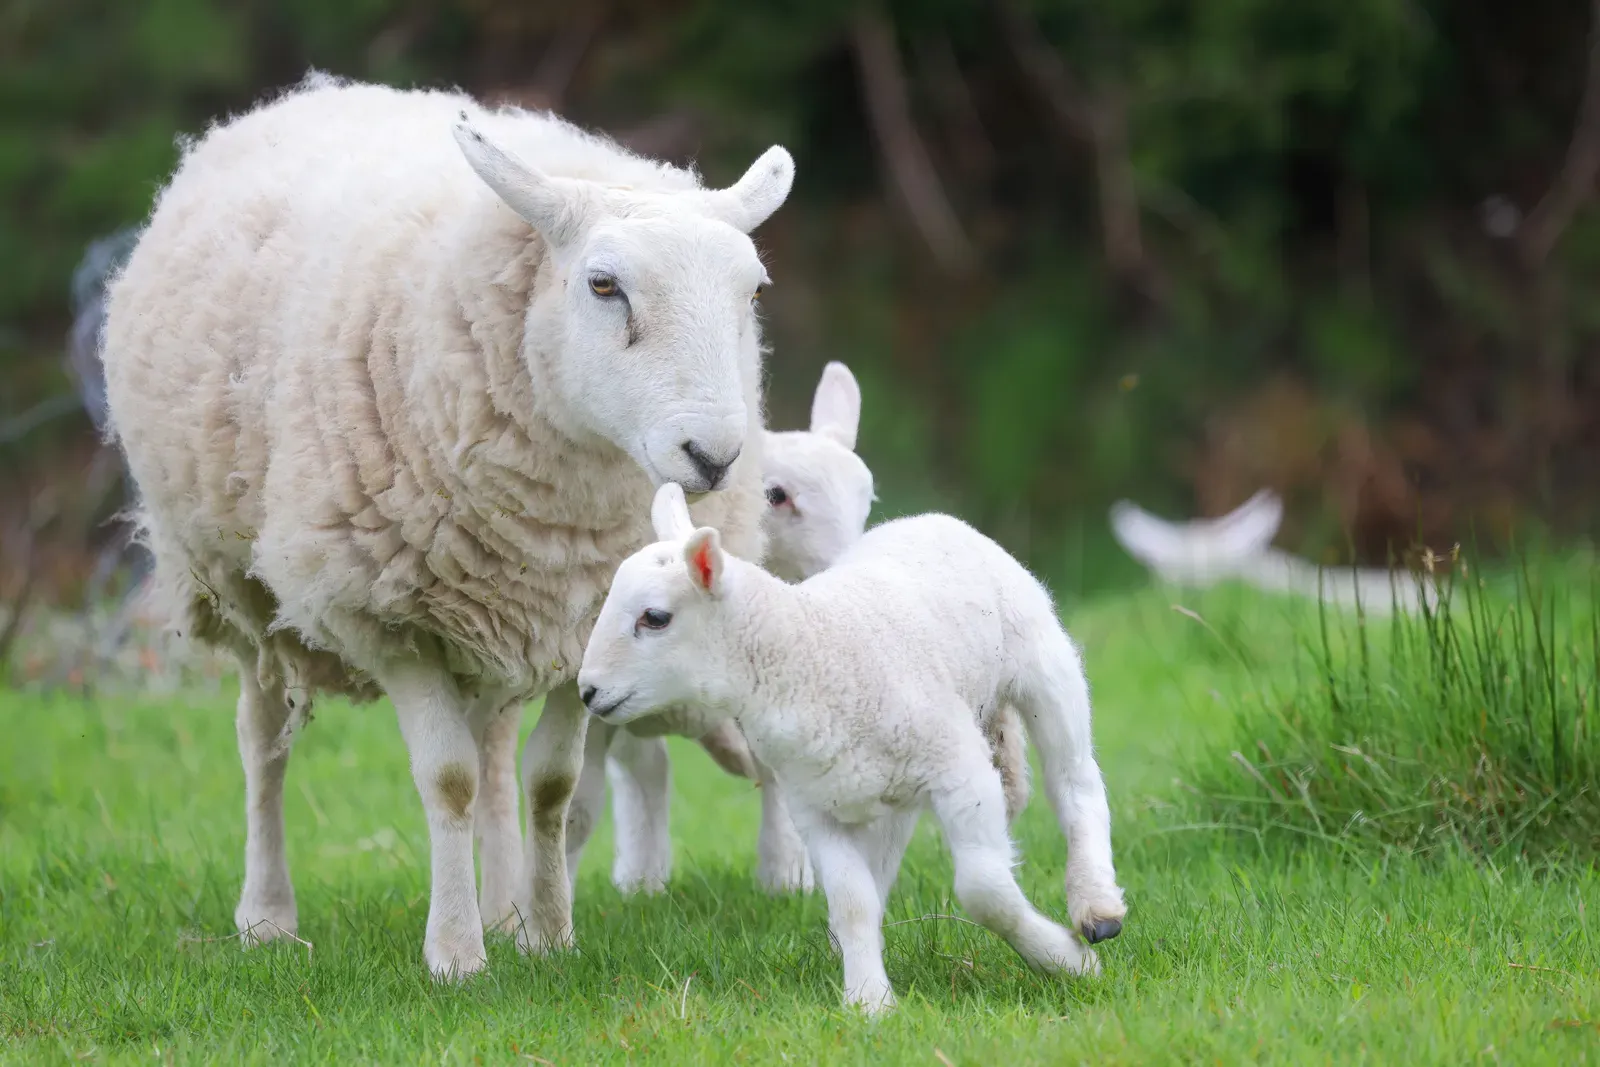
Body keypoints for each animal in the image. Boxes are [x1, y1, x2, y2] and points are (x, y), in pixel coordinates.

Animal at [100, 73, 794, 978]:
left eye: (753, 292)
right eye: (604, 285)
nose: (712, 457)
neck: (569, 516)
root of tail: (311, 93)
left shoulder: (581, 618)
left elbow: (548, 782)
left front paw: (547, 935)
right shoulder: (389, 618)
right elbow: (449, 780)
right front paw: (458, 955)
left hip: (490, 609)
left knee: (495, 744)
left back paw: (504, 906)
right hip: (239, 587)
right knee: (264, 740)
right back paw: (268, 916)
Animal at [578, 483, 1126, 1013]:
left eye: (655, 618)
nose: (587, 692)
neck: (805, 651)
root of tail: (925, 519)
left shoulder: (961, 771)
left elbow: (984, 891)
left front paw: (1068, 962)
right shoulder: (814, 807)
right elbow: (852, 901)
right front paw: (868, 999)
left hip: (1043, 665)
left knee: (1076, 784)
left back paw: (1097, 908)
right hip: (888, 785)